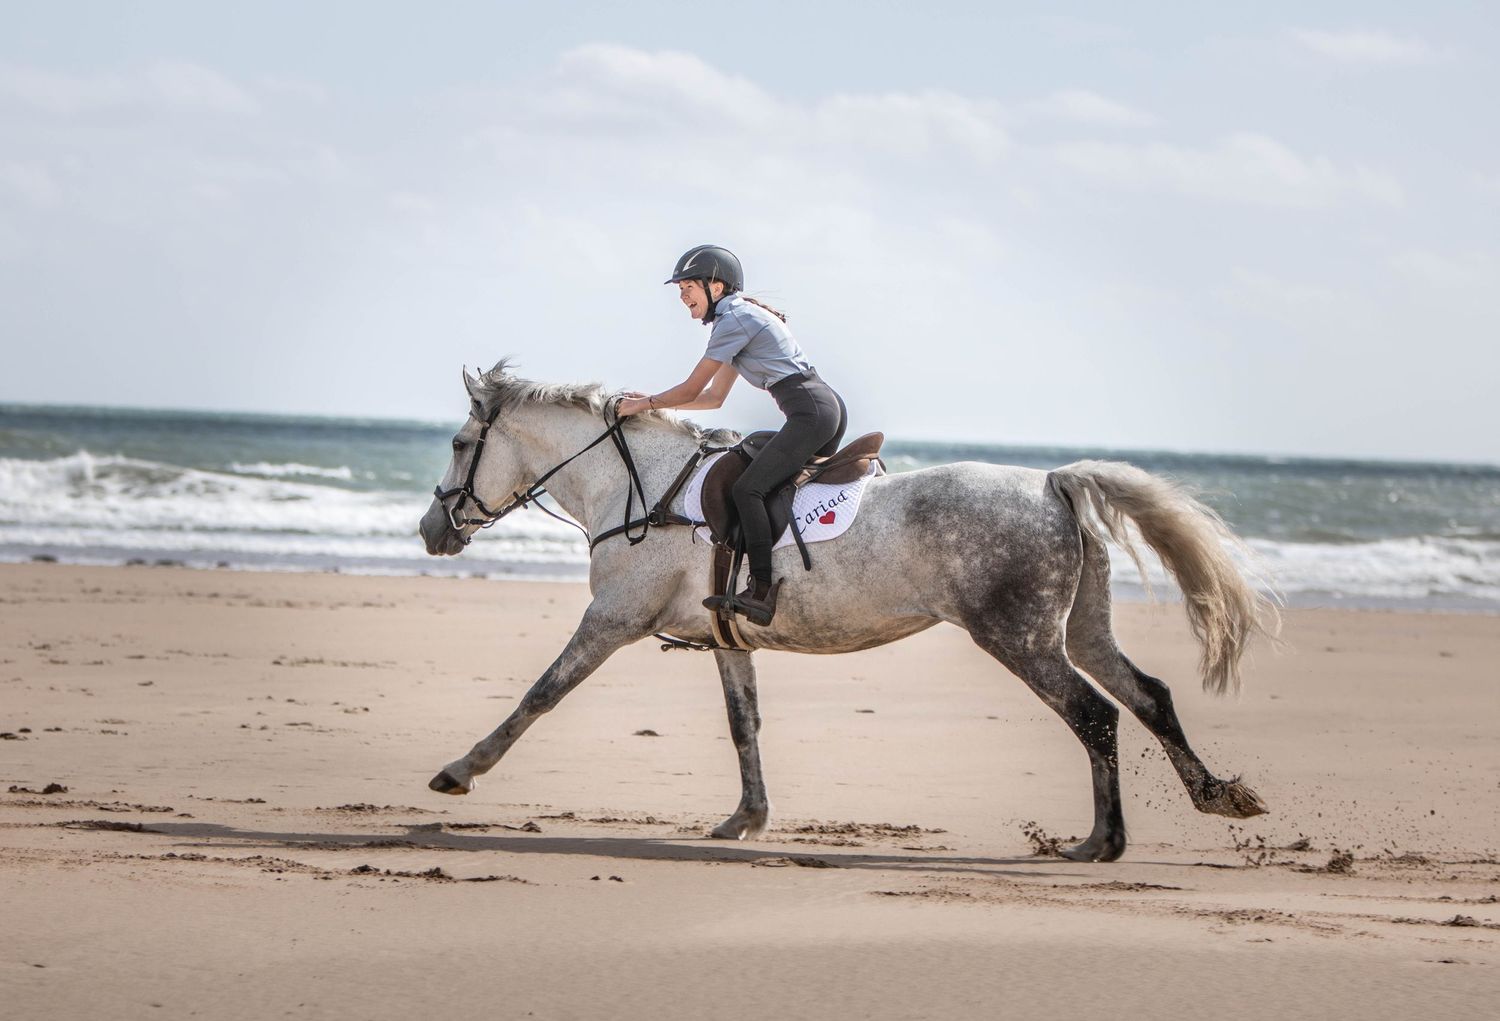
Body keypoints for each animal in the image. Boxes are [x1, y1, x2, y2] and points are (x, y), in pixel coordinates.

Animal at [418, 362, 1277, 862]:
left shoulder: (611, 621)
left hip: (1019, 636)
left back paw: (1099, 842)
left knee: (1094, 715)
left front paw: (460, 770)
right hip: (1079, 629)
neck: (642, 487)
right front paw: (747, 818)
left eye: (460, 444)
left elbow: (539, 693)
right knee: (1147, 696)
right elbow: (745, 725)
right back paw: (1213, 795)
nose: (432, 530)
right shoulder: (726, 638)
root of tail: (1051, 481)